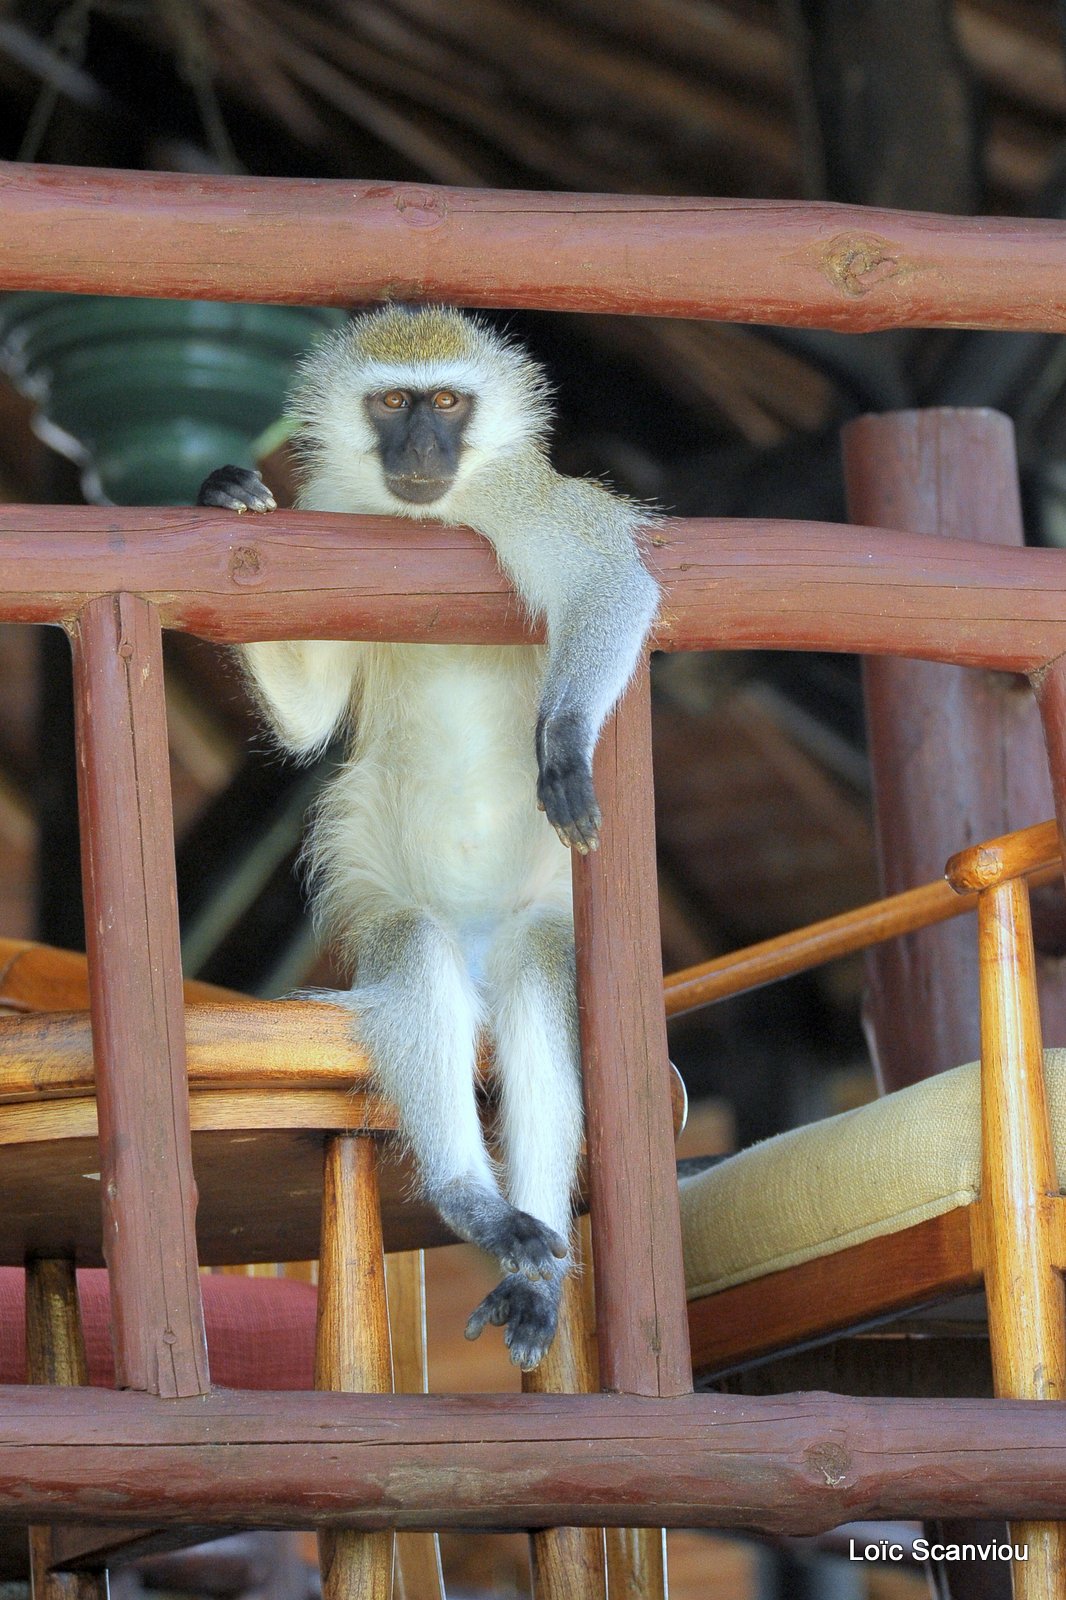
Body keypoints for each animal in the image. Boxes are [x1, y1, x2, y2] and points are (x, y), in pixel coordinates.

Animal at [194, 302, 653, 1363]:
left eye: (448, 402)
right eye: (393, 404)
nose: (421, 450)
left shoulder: (533, 501)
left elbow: (613, 584)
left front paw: (565, 742)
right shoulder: (331, 515)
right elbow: (309, 714)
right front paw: (232, 495)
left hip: (531, 917)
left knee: (539, 969)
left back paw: (535, 1249)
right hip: (401, 904)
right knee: (415, 951)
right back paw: (473, 1202)